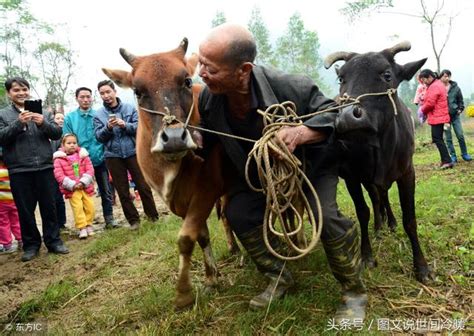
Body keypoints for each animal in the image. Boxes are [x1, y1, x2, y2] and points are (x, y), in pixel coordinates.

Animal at [102, 38, 233, 308]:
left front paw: (184, 292)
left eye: (186, 81)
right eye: (137, 91)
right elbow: (201, 236)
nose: (173, 138)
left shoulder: (208, 189)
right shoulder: (180, 202)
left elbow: (186, 238)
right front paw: (211, 277)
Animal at [326, 42, 434, 284]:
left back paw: (389, 222)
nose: (347, 117)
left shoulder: (407, 172)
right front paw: (366, 256)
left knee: (382, 196)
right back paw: (379, 225)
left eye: (387, 75)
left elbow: (410, 219)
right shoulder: (352, 177)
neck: (379, 148)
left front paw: (422, 267)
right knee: (376, 198)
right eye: (341, 78)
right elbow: (363, 212)